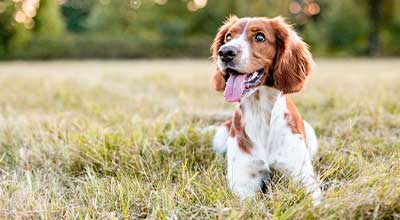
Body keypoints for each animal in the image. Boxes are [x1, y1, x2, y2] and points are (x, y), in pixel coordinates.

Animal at [209, 16, 322, 205]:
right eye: (228, 37)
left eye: (260, 37)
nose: (225, 52)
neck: (260, 113)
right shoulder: (243, 181)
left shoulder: (303, 177)